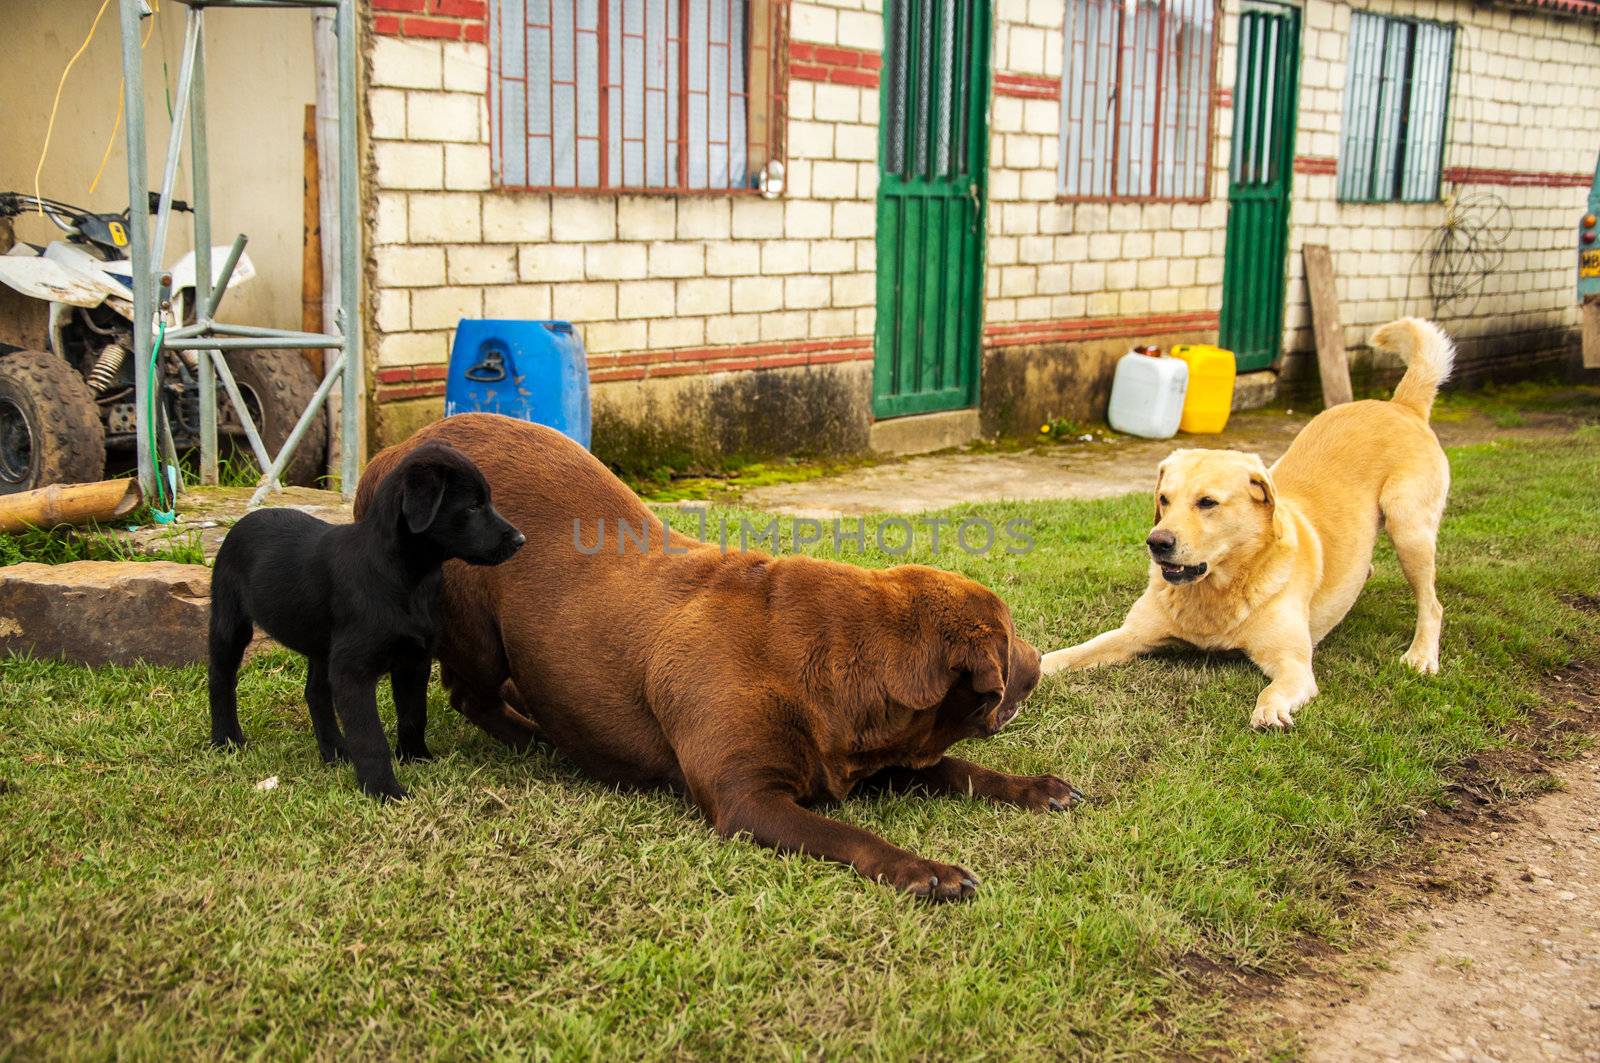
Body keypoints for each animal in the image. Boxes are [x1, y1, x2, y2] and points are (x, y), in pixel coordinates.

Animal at [208, 438, 524, 797]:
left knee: (315, 693)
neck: (406, 577)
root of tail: (243, 522)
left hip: (323, 645)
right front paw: (383, 789)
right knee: (221, 678)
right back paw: (226, 739)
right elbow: (369, 735)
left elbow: (414, 715)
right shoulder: (353, 671)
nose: (520, 540)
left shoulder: (414, 660)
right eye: (472, 506)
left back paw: (335, 751)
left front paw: (417, 757)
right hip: (230, 621)